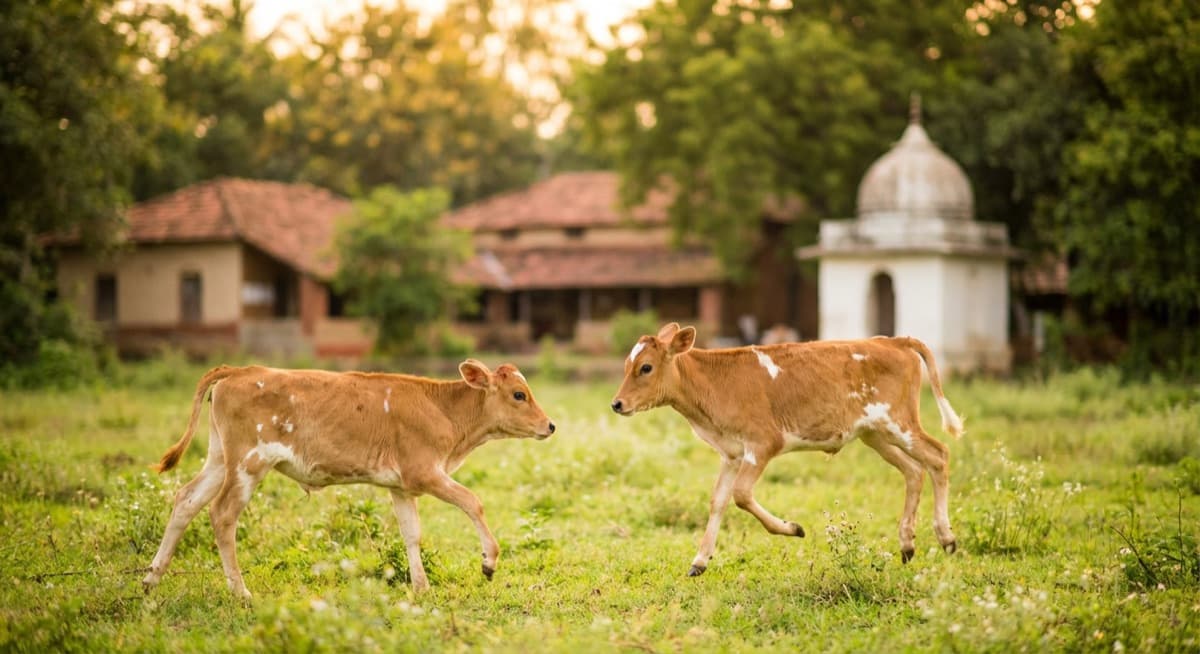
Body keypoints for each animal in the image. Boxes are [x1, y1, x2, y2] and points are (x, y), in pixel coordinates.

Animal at [141, 360, 555, 598]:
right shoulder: (425, 472)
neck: (444, 411)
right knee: (222, 514)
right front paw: (488, 561)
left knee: (186, 500)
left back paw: (151, 579)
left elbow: (412, 534)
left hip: (218, 459)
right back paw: (240, 592)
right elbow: (474, 501)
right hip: (248, 462)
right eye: (519, 394)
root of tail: (241, 370)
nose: (550, 425)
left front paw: (421, 587)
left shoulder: (400, 486)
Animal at [610, 323, 964, 577]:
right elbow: (718, 501)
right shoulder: (731, 453)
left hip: (899, 422)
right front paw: (700, 560)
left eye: (645, 367)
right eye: (627, 365)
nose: (617, 404)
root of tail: (892, 341)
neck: (712, 385)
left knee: (939, 456)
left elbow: (741, 495)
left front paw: (793, 528)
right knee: (914, 470)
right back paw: (907, 544)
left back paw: (946, 538)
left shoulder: (763, 443)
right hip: (874, 433)